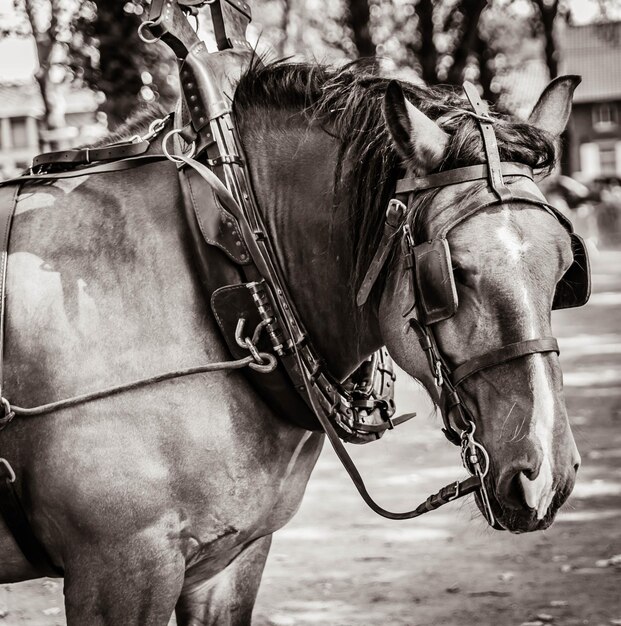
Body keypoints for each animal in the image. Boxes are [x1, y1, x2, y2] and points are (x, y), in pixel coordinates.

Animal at [0, 59, 580, 624]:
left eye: (565, 267)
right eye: (451, 273)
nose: (545, 477)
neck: (234, 264)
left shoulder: (231, 559)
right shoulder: (122, 567)